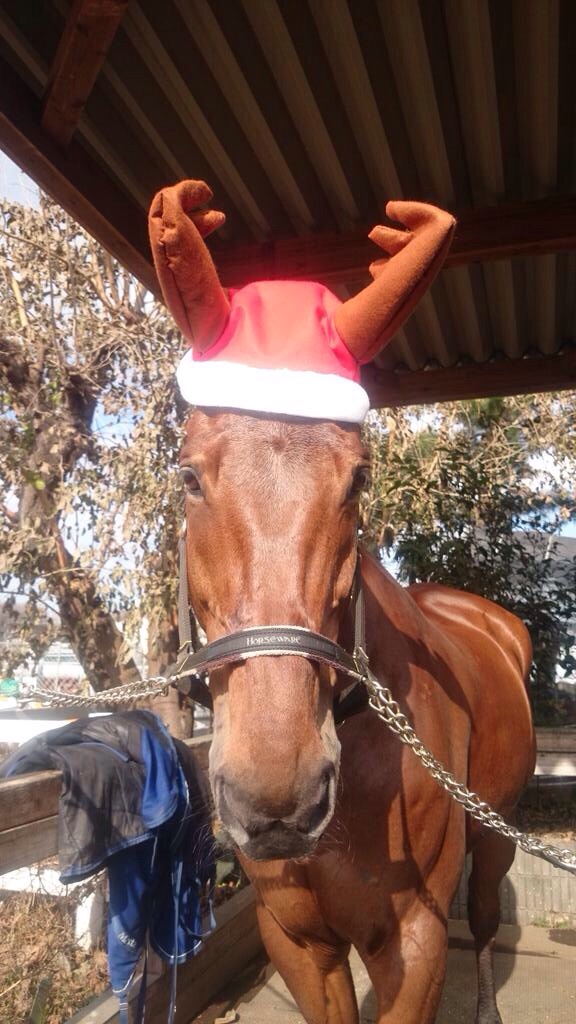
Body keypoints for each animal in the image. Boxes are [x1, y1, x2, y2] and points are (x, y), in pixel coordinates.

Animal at [149, 181, 536, 1023]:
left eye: (358, 480)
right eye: (189, 475)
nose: (277, 794)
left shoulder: (415, 943)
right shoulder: (297, 941)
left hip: (498, 831)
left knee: (487, 916)